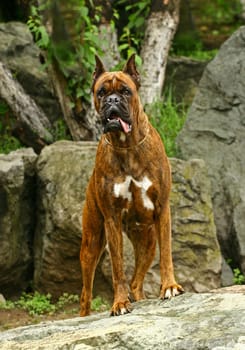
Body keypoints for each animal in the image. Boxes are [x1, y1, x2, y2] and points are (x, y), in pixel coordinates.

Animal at [80, 54, 184, 318]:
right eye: (101, 92)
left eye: (125, 91)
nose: (112, 101)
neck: (126, 145)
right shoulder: (112, 220)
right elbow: (118, 268)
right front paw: (119, 302)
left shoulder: (162, 209)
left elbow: (167, 254)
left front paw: (169, 286)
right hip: (91, 243)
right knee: (86, 294)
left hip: (147, 242)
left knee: (137, 281)